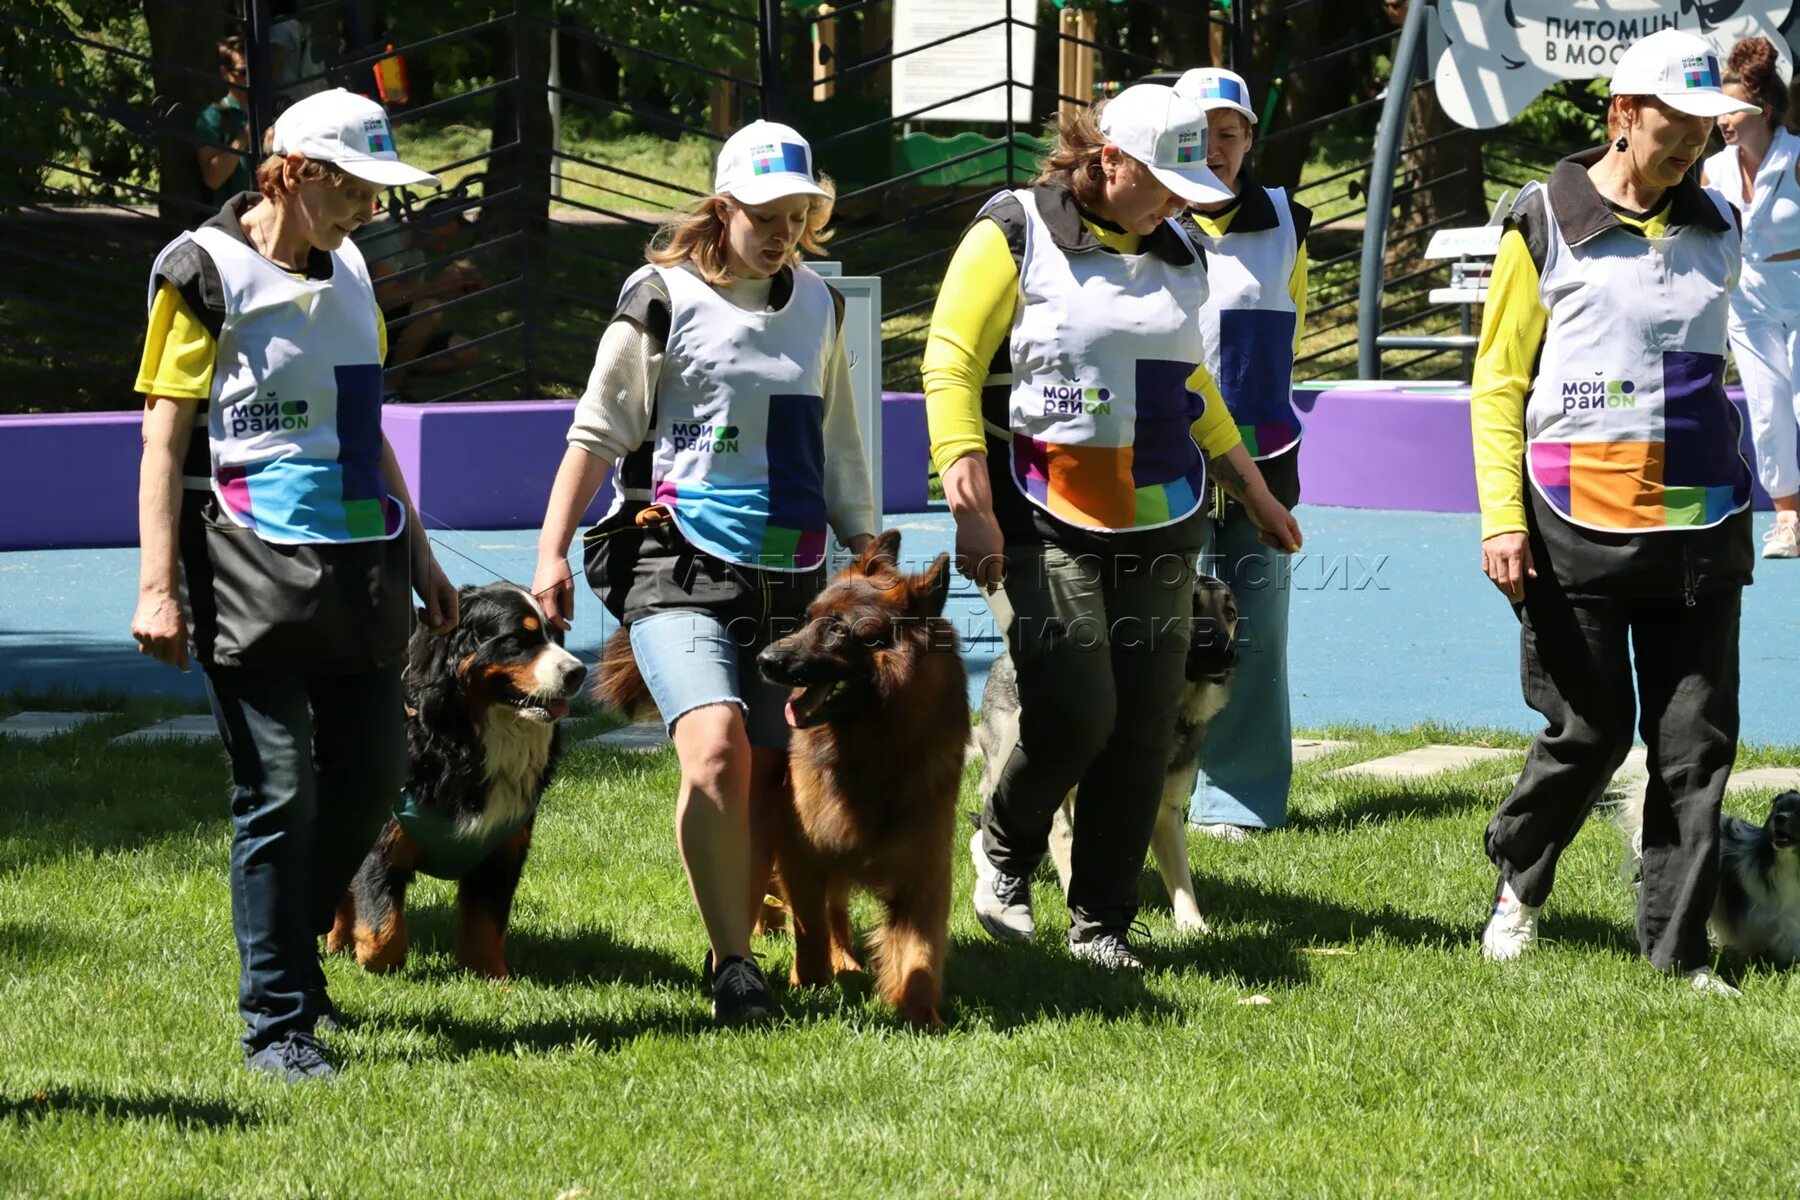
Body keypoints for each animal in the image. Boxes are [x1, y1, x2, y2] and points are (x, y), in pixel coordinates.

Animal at [327, 586, 586, 978]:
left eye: (557, 637)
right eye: (518, 639)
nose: (578, 672)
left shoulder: (500, 850)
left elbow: (485, 926)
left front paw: (491, 977)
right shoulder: (384, 839)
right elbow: (381, 929)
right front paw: (376, 964)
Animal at [972, 575, 1238, 935]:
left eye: (1230, 613)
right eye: (1192, 606)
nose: (1227, 654)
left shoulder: (1164, 812)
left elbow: (1181, 879)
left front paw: (1193, 925)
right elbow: (1070, 858)